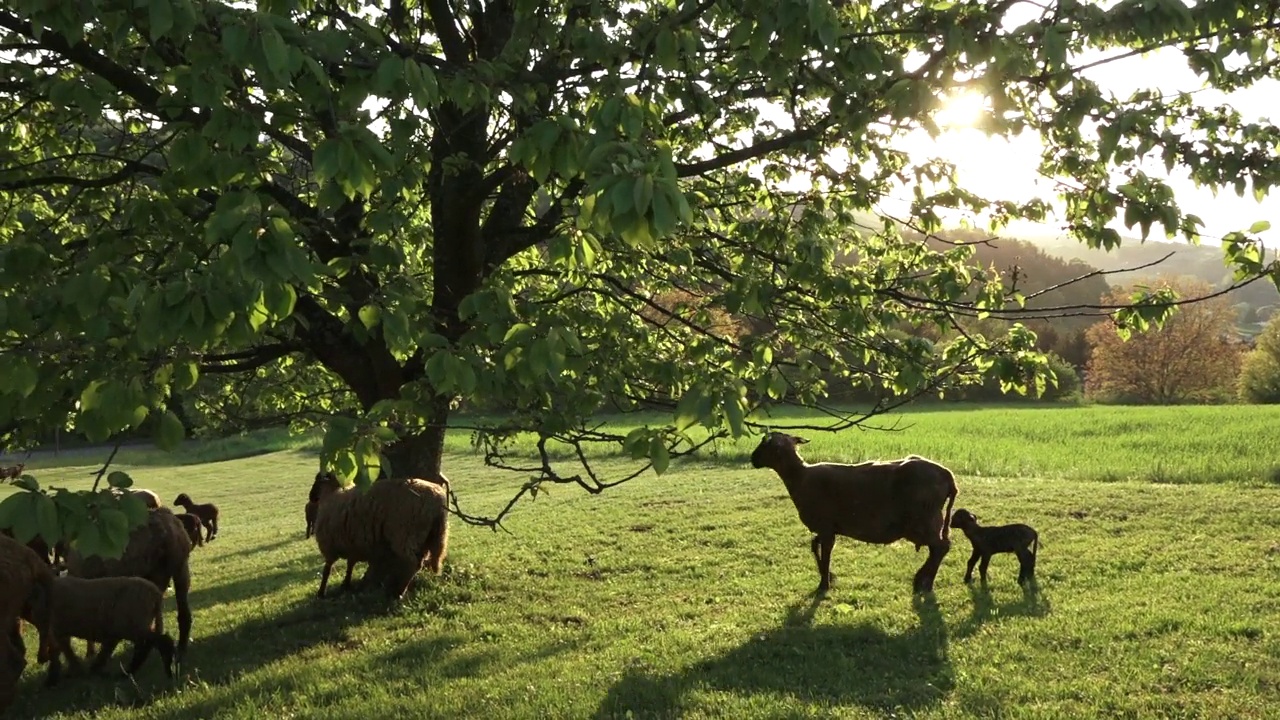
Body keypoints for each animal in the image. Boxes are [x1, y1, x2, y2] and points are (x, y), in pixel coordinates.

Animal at [309, 468, 450, 597]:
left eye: (317, 480)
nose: (311, 497)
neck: (331, 493)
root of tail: (438, 499)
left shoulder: (329, 546)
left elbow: (327, 570)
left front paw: (321, 592)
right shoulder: (353, 543)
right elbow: (350, 564)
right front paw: (346, 584)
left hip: (405, 534)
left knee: (412, 563)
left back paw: (399, 592)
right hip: (431, 536)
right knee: (420, 561)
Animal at [747, 430, 962, 594]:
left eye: (766, 444)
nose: (752, 459)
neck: (800, 476)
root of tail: (949, 476)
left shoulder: (826, 526)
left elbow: (825, 552)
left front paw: (824, 584)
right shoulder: (827, 528)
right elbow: (814, 545)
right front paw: (829, 577)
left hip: (925, 519)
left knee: (941, 547)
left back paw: (924, 582)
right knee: (938, 548)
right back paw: (923, 580)